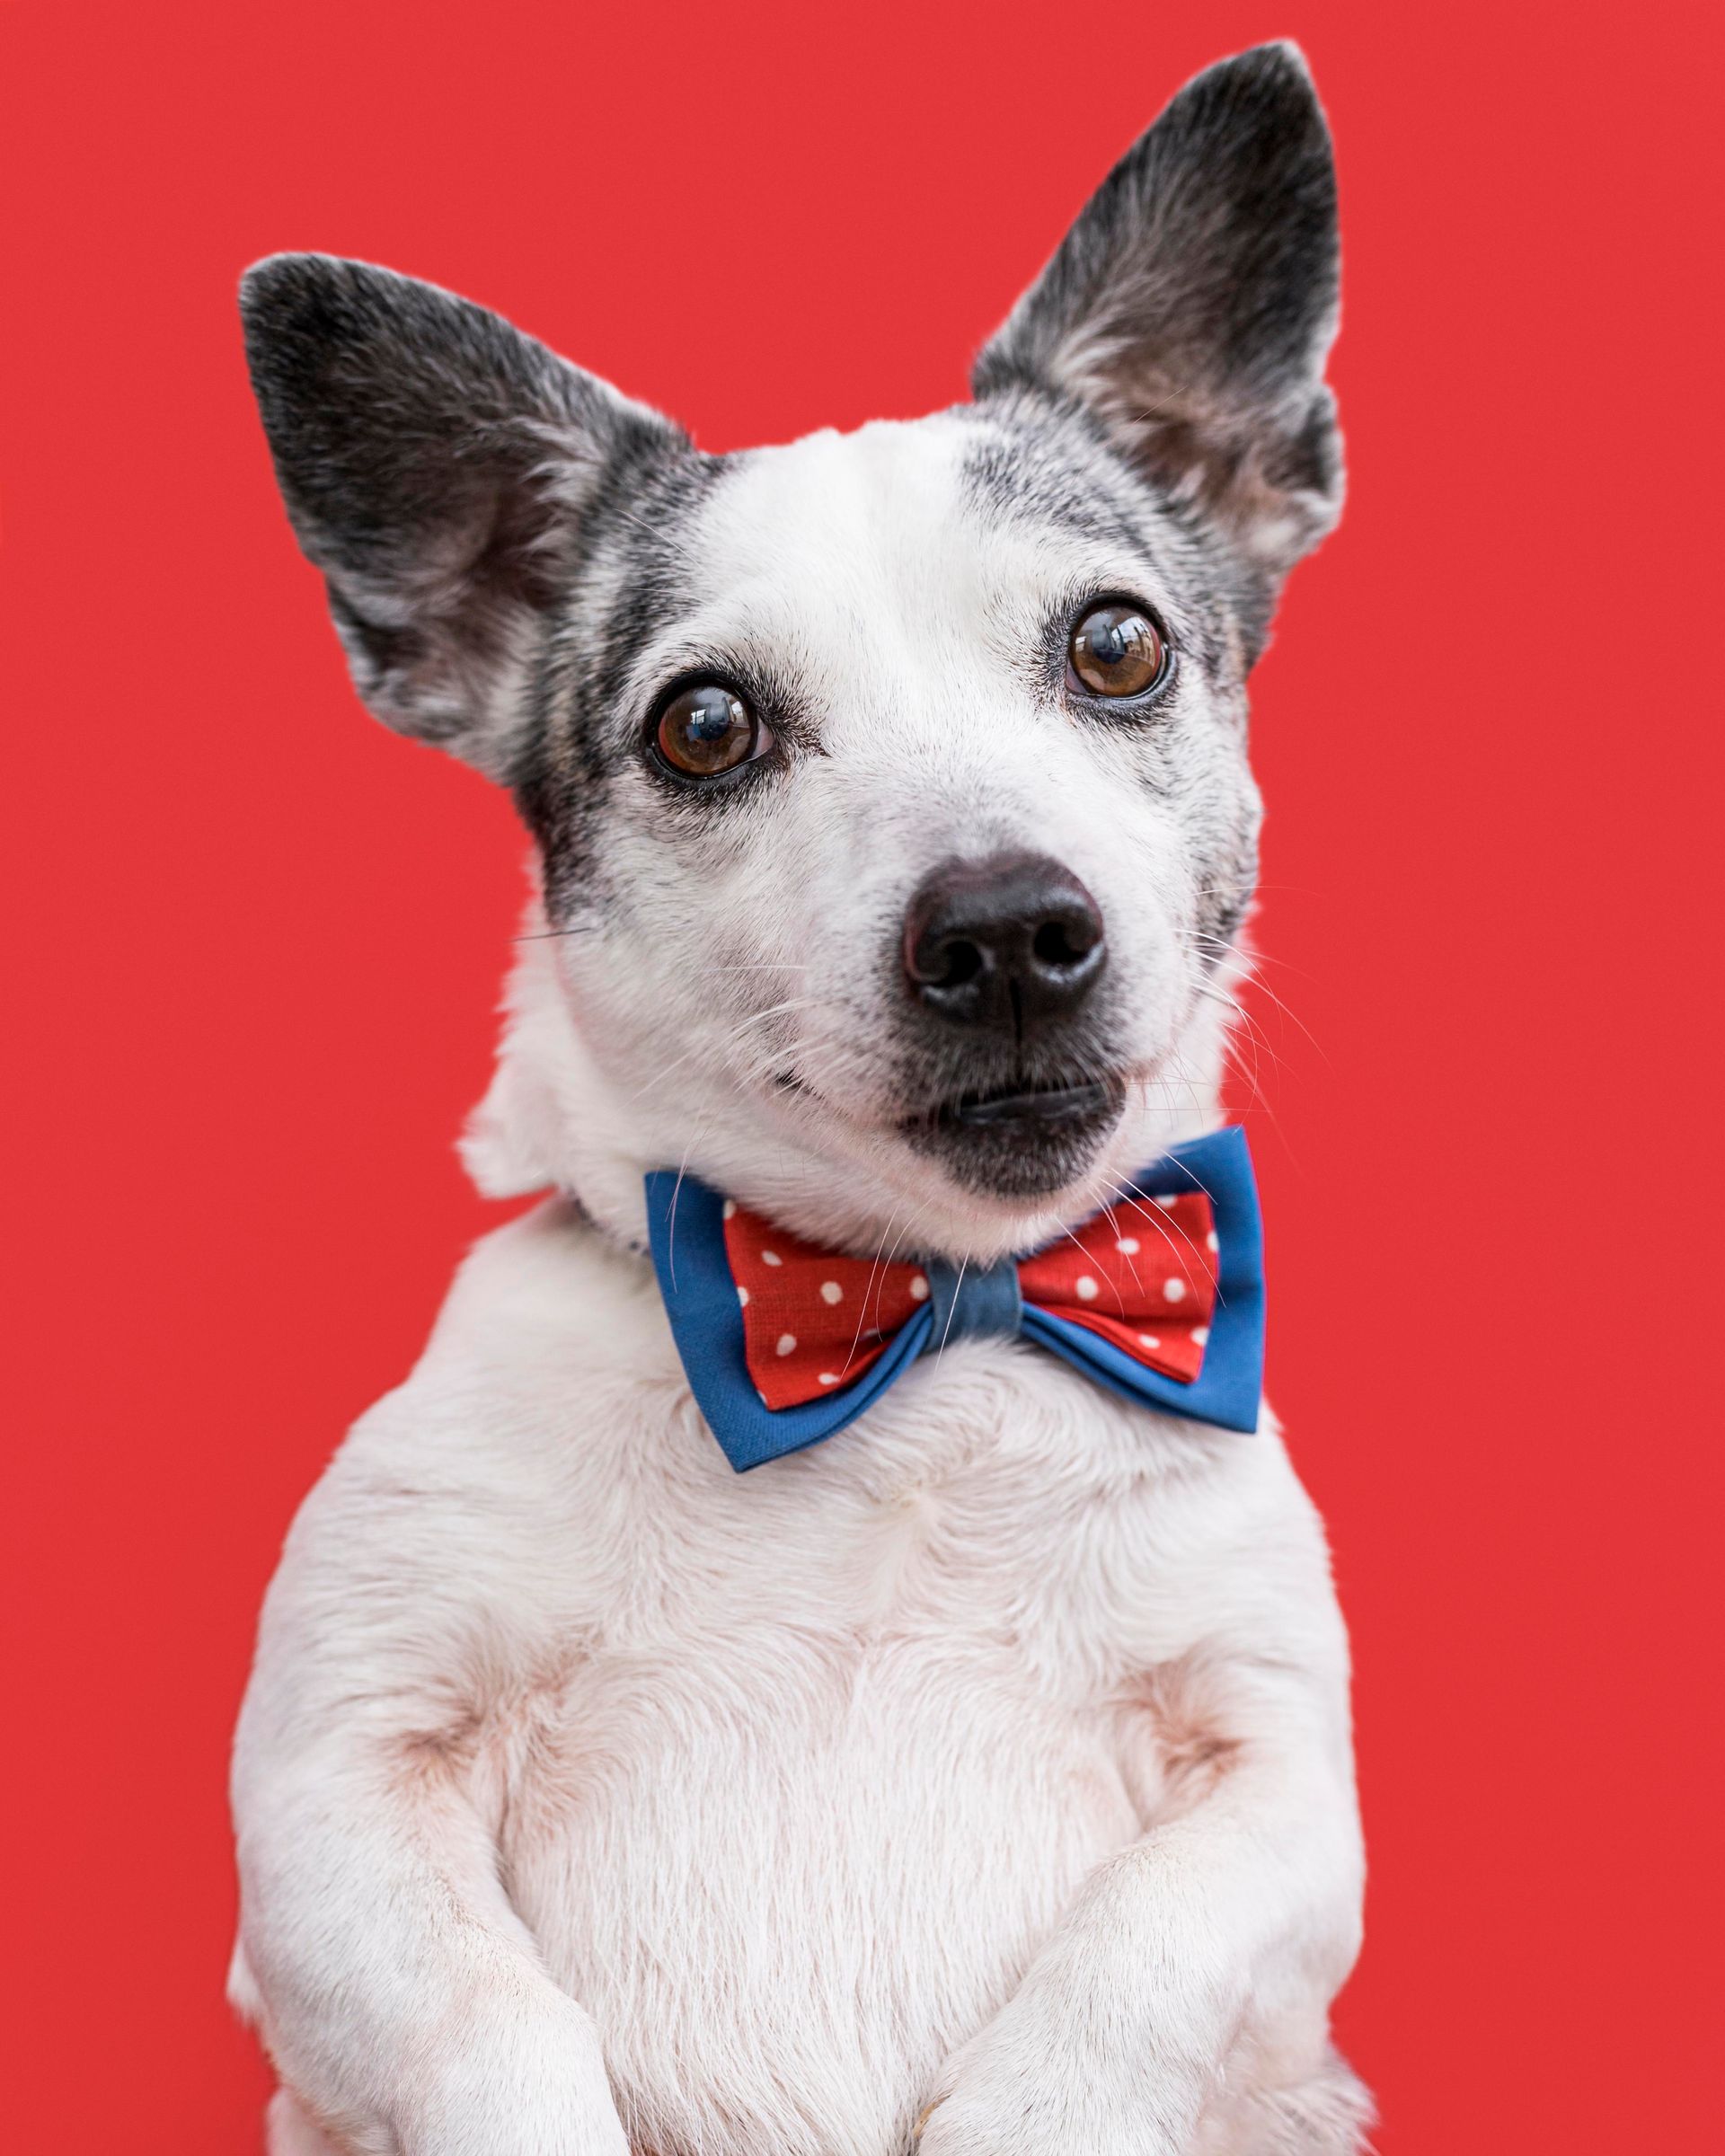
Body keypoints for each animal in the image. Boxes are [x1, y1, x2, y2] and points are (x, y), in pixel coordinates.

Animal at [228, 38, 1371, 2156]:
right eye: (705, 727)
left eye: (1117, 644)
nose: (1006, 928)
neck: (917, 1322)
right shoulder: (338, 1793)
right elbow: (483, 2029)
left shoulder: (1274, 1794)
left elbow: (1133, 1977)